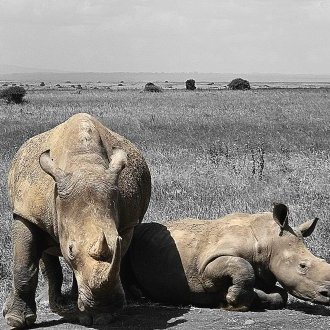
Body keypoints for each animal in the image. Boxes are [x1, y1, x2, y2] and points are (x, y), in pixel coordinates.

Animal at [2, 113, 151, 328]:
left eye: (119, 241)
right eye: (70, 249)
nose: (103, 303)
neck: (84, 164)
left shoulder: (127, 222)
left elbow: (116, 259)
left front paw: (102, 316)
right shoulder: (27, 214)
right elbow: (23, 266)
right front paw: (16, 320)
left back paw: (72, 301)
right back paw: (55, 303)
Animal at [125, 205, 330, 310]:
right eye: (302, 266)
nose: (327, 294)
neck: (269, 241)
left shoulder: (265, 271)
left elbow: (281, 295)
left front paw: (256, 297)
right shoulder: (205, 267)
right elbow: (242, 267)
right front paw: (233, 300)